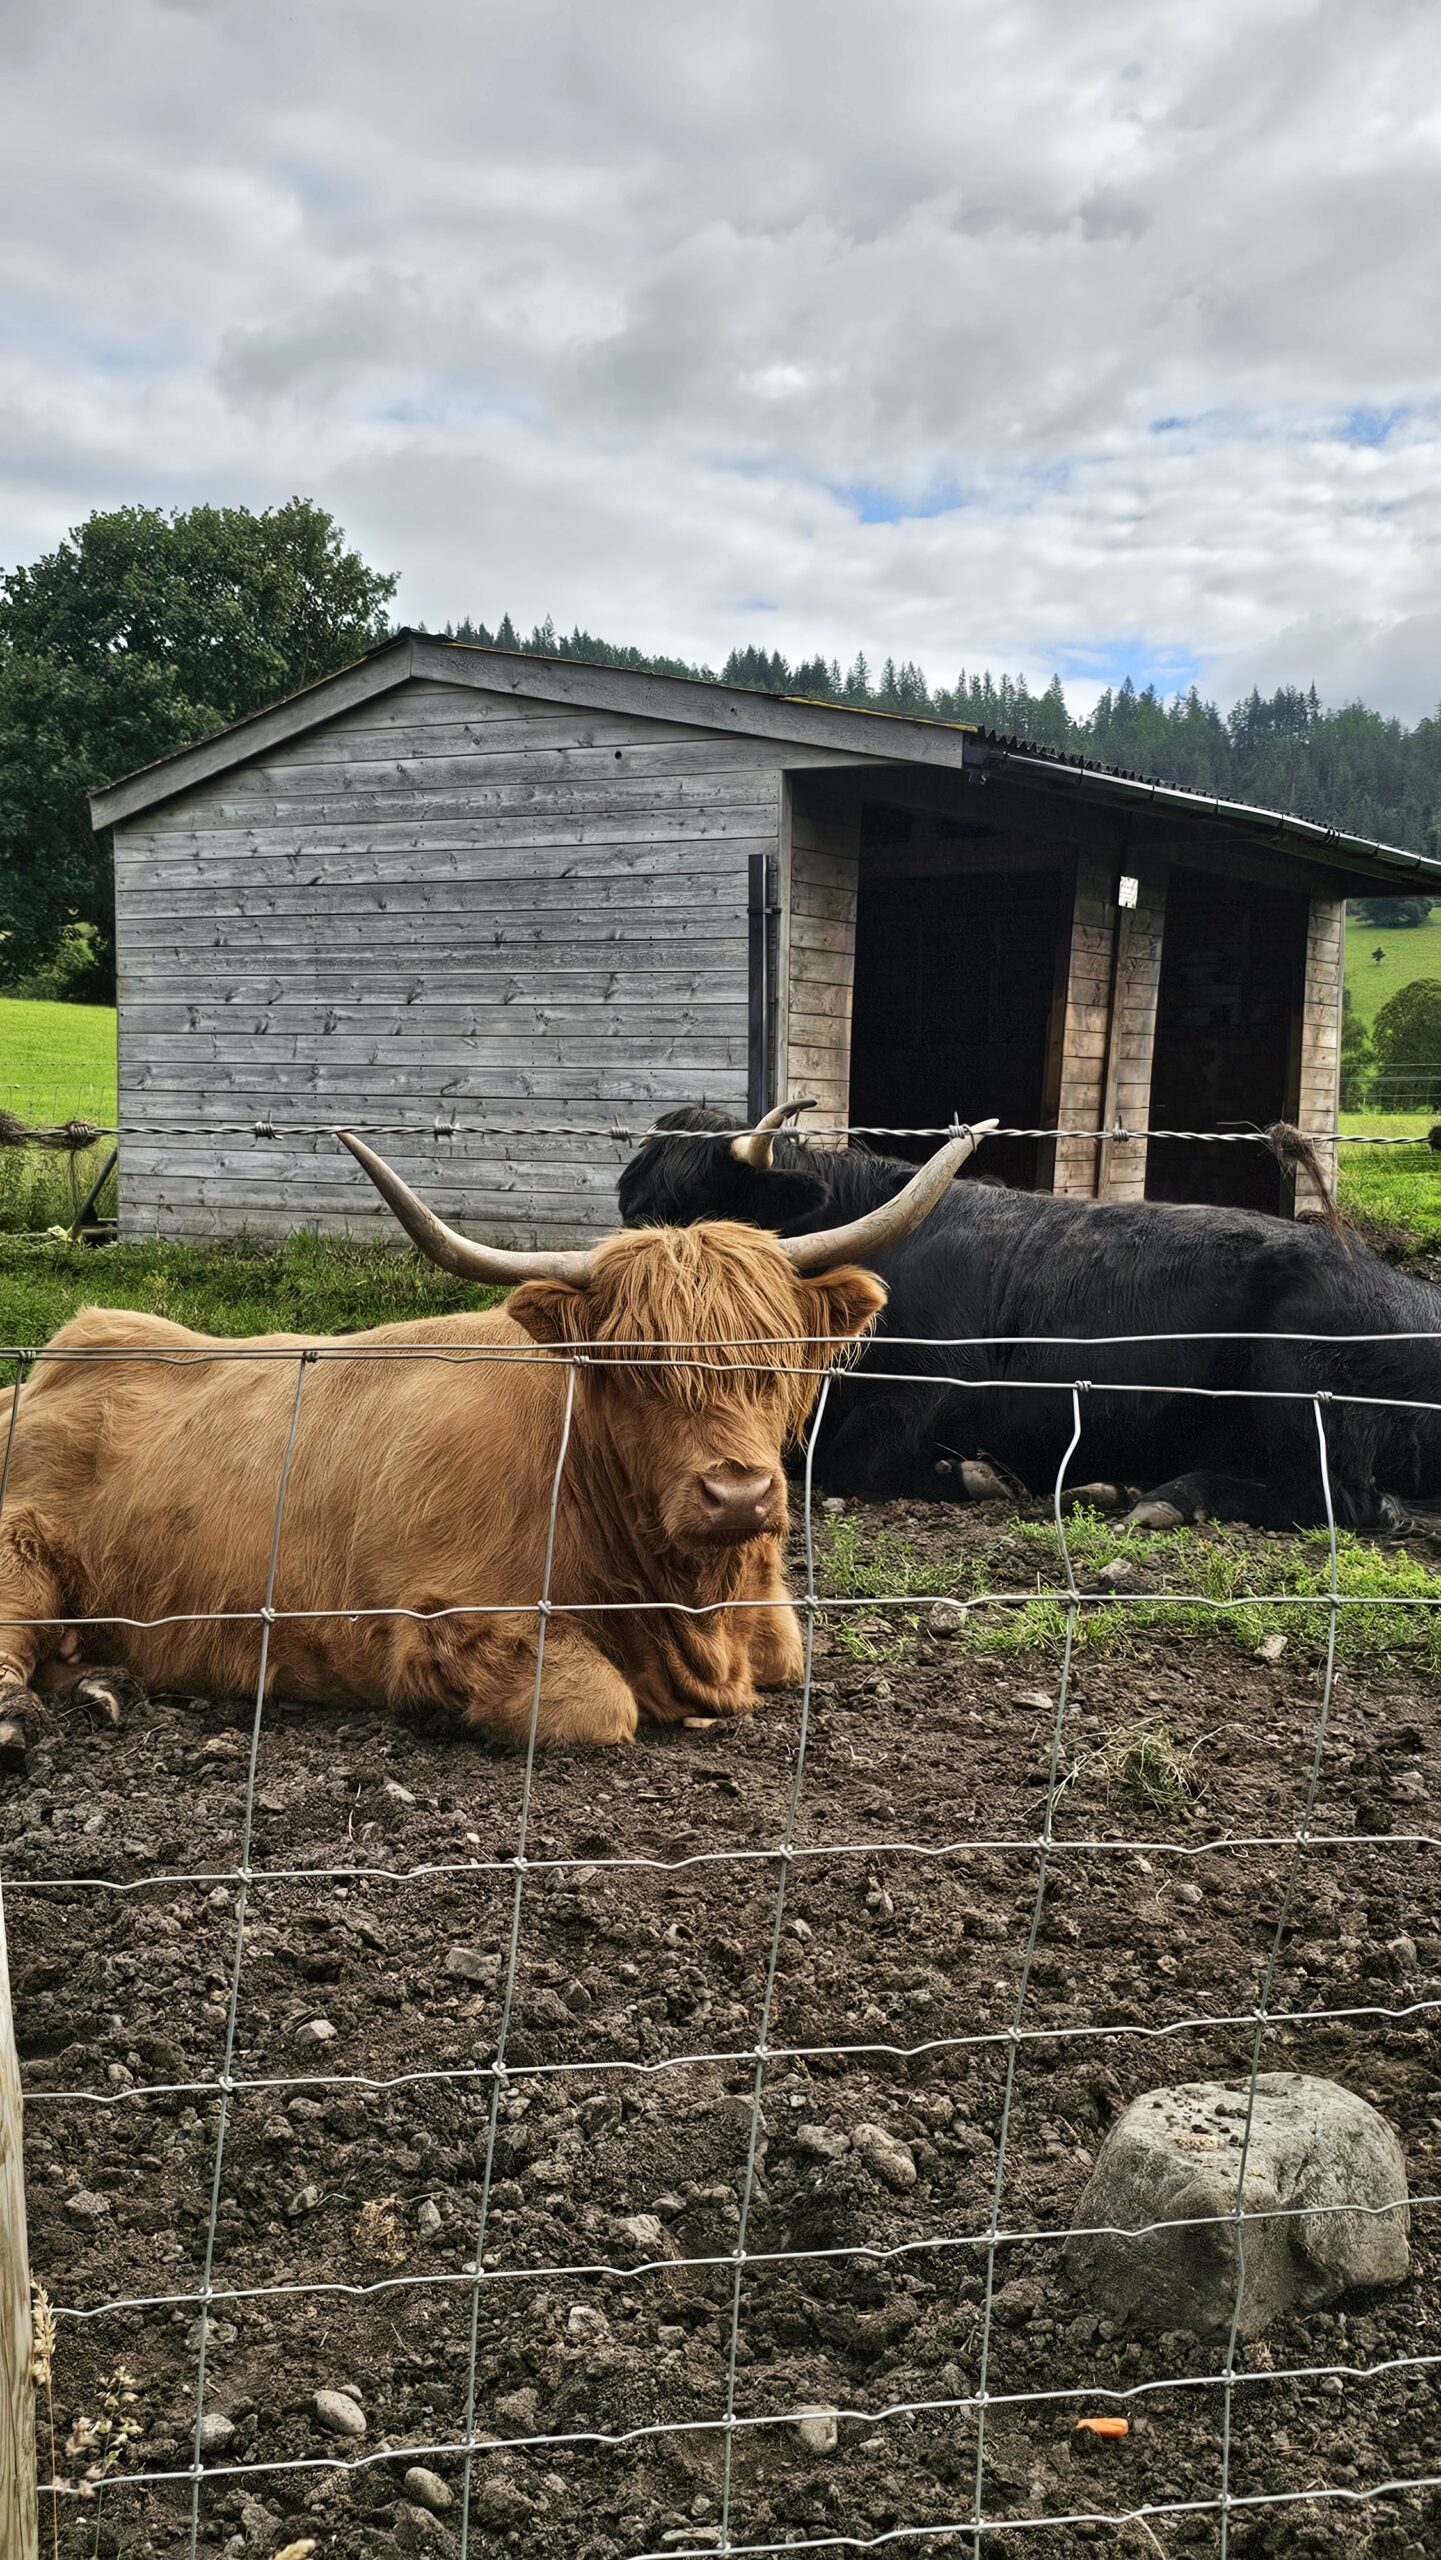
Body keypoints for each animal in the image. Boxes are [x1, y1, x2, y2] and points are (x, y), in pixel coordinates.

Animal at [0, 1127, 978, 1759]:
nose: (739, 1495)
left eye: (777, 1358)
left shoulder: (769, 1630)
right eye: (629, 1366)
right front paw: (440, 1710)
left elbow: (788, 1656)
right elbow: (593, 1705)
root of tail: (50, 1364)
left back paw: (99, 1684)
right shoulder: (453, 1614)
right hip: (21, 1550)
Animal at [618, 1101, 1441, 1533]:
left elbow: (843, 1463)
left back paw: (1160, 1498)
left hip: (1298, 1383)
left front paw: (976, 1475)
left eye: (688, 1213)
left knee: (1339, 1499)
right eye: (629, 1209)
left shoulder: (917, 1396)